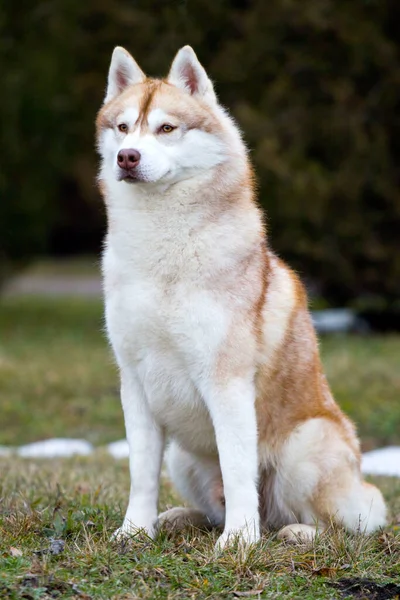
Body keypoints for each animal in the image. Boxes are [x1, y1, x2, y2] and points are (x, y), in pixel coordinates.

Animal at [95, 43, 386, 548]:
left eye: (166, 128)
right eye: (123, 128)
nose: (127, 157)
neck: (163, 253)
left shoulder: (226, 382)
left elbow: (236, 471)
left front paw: (238, 543)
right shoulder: (135, 382)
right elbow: (140, 472)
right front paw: (134, 531)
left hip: (307, 447)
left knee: (336, 524)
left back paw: (291, 532)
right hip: (183, 458)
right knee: (210, 505)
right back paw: (178, 519)